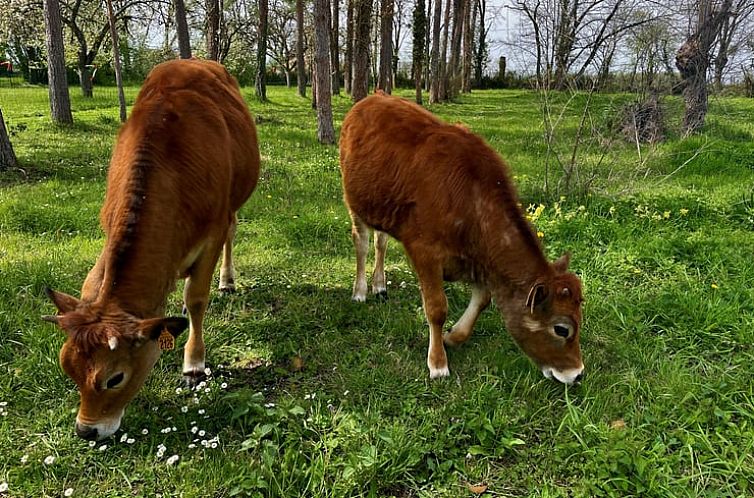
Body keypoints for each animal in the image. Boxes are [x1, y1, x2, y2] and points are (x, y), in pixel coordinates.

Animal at [45, 59, 262, 440]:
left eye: (115, 378)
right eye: (67, 368)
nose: (86, 431)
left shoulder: (212, 231)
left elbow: (196, 298)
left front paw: (193, 364)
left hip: (234, 205)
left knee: (232, 233)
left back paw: (227, 280)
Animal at [340, 92, 580, 382]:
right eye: (561, 329)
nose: (578, 374)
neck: (471, 200)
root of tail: (374, 97)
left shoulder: (476, 261)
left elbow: (482, 300)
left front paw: (452, 336)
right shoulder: (425, 251)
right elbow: (436, 308)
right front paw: (438, 363)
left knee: (381, 242)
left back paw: (379, 285)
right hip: (354, 202)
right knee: (362, 243)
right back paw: (361, 290)